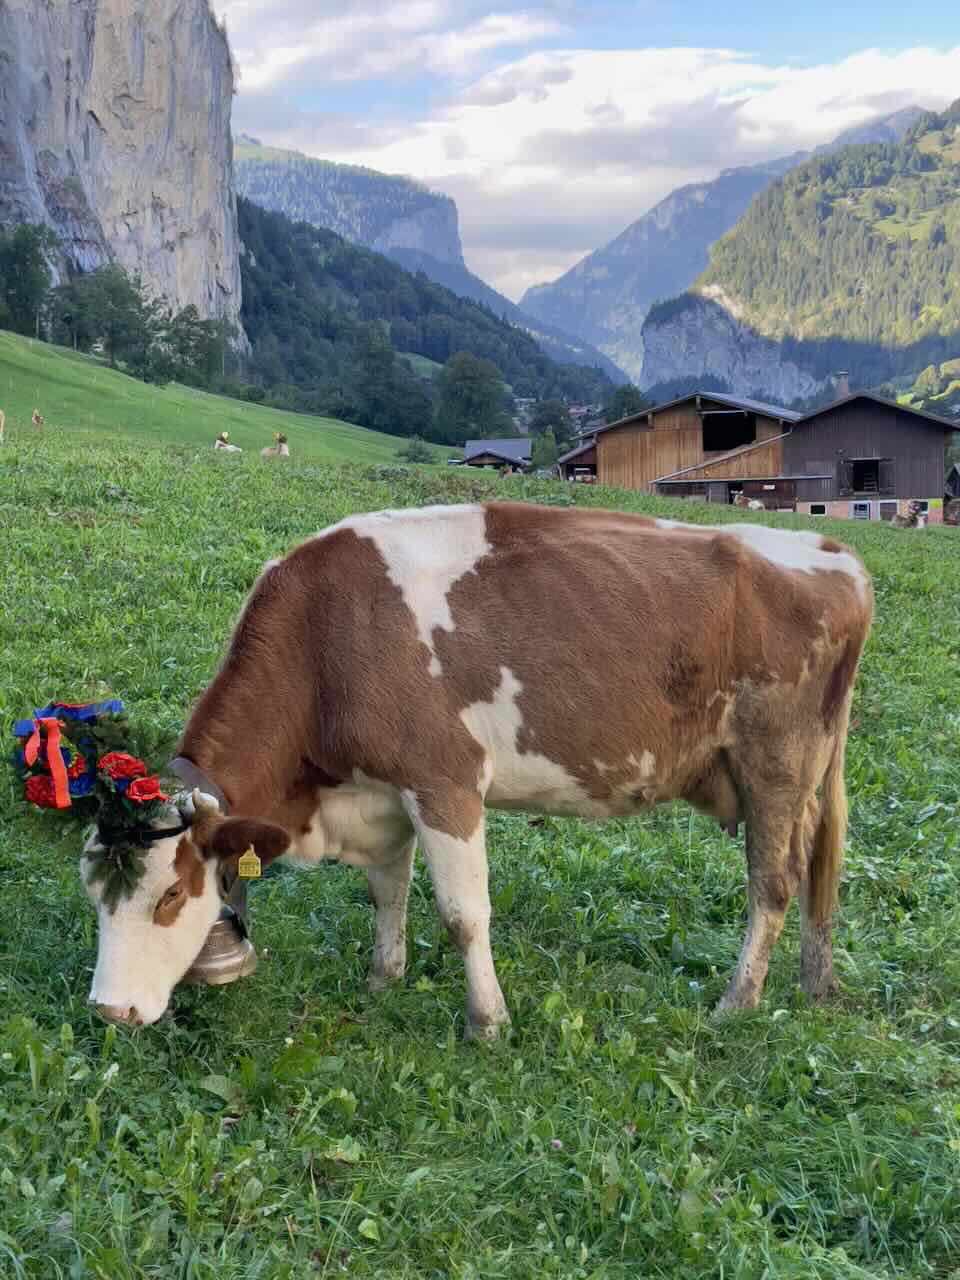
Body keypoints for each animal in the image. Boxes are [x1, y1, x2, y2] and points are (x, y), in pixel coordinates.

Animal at [83, 502, 873, 1036]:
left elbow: (465, 913)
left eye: (169, 896)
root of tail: (832, 550)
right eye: (93, 894)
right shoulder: (383, 792)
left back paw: (737, 1003)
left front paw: (487, 1021)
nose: (109, 1010)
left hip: (775, 762)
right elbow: (388, 893)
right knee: (815, 869)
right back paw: (816, 982)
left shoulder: (445, 781)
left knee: (773, 882)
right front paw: (383, 980)